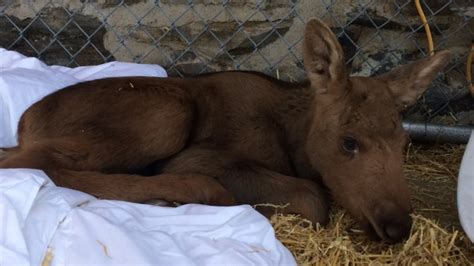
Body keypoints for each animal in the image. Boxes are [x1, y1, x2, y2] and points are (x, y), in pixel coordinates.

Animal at [0, 18, 450, 243]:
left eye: (404, 141)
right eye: (349, 142)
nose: (397, 227)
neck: (294, 143)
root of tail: (24, 122)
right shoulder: (199, 157)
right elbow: (313, 199)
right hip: (169, 111)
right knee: (30, 161)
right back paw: (187, 194)